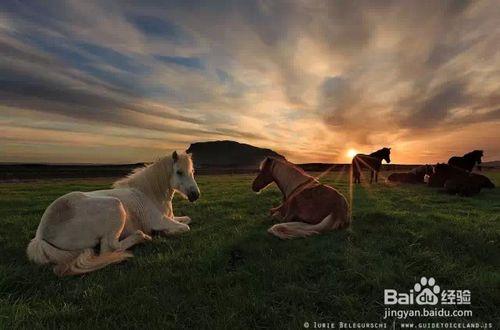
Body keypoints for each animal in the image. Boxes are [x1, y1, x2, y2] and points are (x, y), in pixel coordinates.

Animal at [26, 151, 199, 276]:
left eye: (192, 172)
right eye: (179, 172)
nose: (195, 195)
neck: (148, 194)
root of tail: (41, 234)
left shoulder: (171, 218)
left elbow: (187, 219)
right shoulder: (160, 221)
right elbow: (185, 227)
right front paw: (165, 232)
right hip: (115, 206)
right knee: (110, 247)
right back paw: (142, 237)